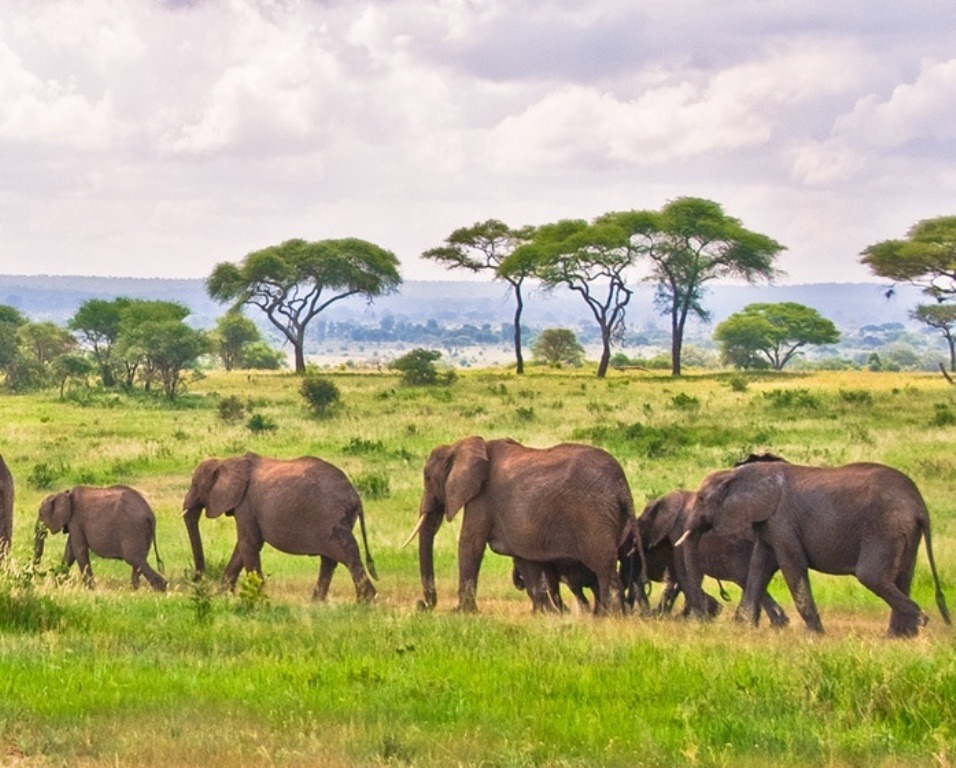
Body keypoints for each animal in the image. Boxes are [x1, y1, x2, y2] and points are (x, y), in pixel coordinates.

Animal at [33, 485, 167, 591]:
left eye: (41, 514)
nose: (39, 577)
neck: (65, 493)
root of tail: (150, 515)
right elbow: (70, 552)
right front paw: (57, 584)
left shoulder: (76, 521)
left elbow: (79, 551)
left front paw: (90, 589)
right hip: (143, 532)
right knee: (139, 561)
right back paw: (134, 589)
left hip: (133, 529)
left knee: (134, 559)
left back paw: (161, 589)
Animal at [182, 452, 377, 602]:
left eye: (195, 485)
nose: (196, 579)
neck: (227, 461)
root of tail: (355, 496)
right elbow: (242, 547)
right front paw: (222, 597)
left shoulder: (246, 504)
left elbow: (249, 544)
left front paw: (258, 599)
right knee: (330, 560)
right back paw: (317, 603)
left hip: (331, 517)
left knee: (347, 554)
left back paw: (365, 603)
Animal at [404, 436, 640, 614]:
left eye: (427, 478)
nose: (422, 605)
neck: (463, 445)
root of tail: (621, 485)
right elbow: (524, 559)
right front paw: (544, 614)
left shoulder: (482, 497)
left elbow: (470, 544)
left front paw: (462, 612)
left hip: (593, 516)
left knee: (604, 568)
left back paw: (609, 617)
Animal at [676, 460, 951, 637]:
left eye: (701, 498)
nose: (703, 619)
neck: (742, 473)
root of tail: (919, 505)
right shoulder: (768, 522)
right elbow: (759, 566)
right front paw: (741, 628)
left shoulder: (782, 520)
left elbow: (791, 566)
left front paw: (815, 634)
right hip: (904, 531)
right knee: (903, 575)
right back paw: (901, 635)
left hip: (884, 528)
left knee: (872, 576)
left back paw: (920, 621)